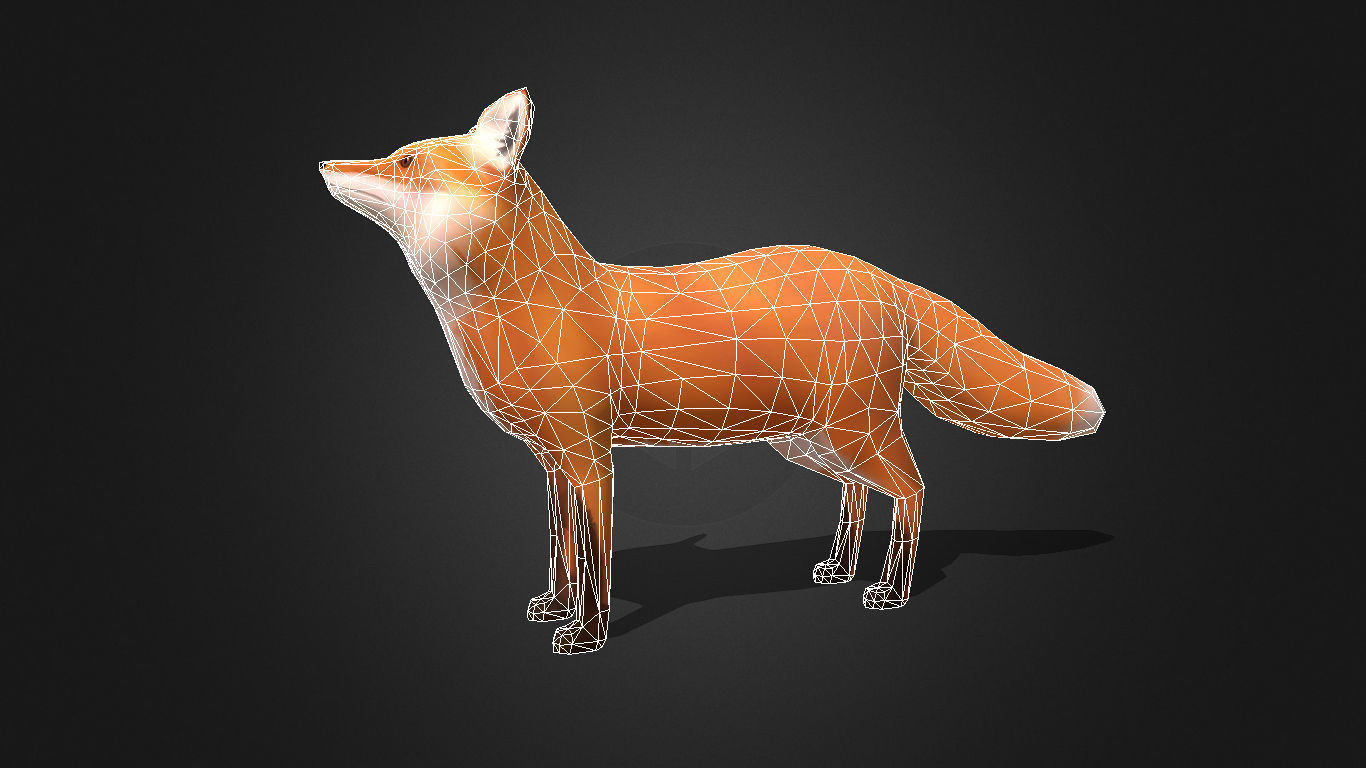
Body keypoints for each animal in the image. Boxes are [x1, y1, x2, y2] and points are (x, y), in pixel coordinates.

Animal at [320, 88, 1104, 654]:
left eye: (405, 162)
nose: (326, 166)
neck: (517, 311)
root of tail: (880, 274)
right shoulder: (552, 463)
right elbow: (562, 553)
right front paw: (553, 607)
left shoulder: (591, 458)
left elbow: (596, 566)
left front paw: (587, 634)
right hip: (810, 443)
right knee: (859, 496)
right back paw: (842, 566)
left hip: (856, 432)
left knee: (911, 491)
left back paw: (891, 589)